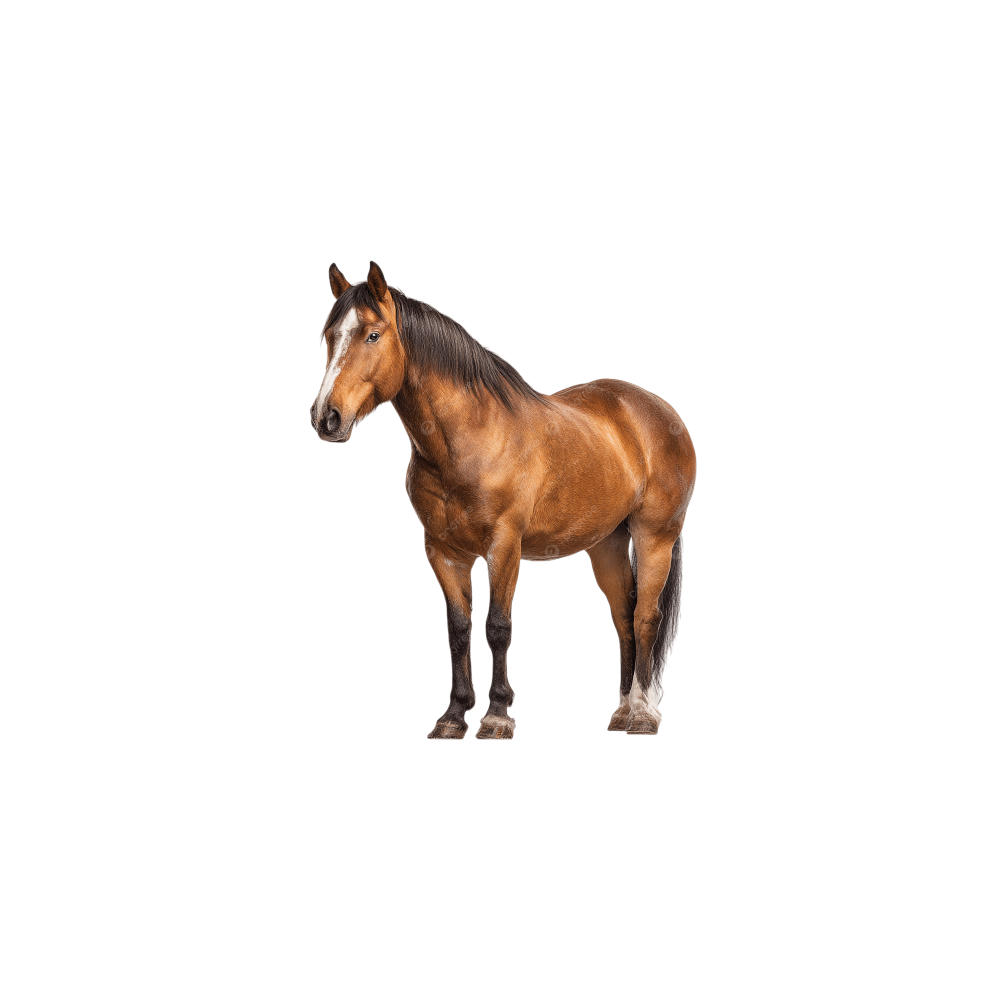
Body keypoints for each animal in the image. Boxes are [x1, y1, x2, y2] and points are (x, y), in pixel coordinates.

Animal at [310, 262, 696, 738]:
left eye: (373, 335)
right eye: (330, 335)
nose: (326, 417)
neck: (470, 438)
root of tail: (658, 410)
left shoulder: (504, 547)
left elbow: (497, 627)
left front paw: (497, 714)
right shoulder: (444, 551)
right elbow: (458, 630)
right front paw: (453, 715)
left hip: (655, 536)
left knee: (645, 617)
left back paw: (642, 714)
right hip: (606, 544)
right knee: (623, 617)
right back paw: (622, 710)